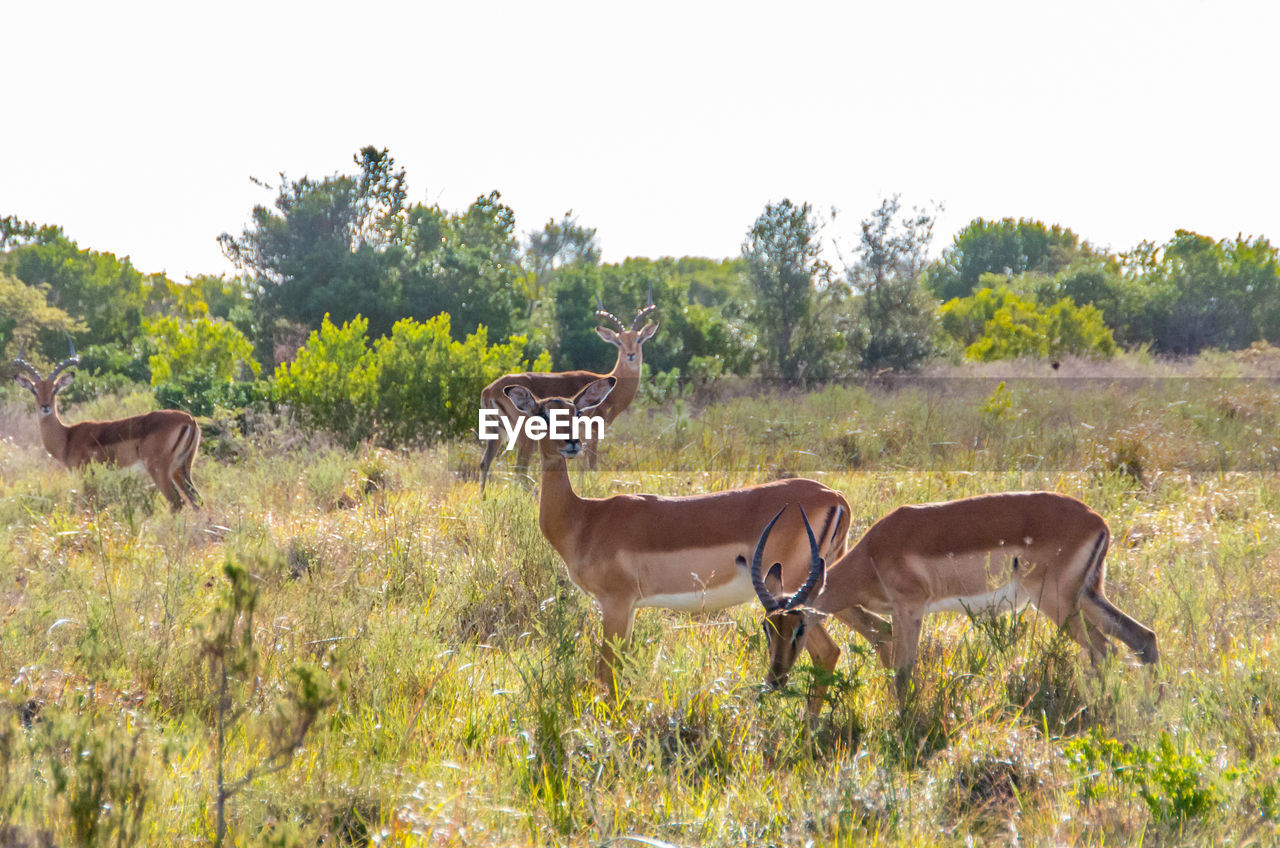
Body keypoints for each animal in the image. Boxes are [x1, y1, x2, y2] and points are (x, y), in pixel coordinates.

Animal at [11, 343, 202, 512]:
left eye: (55, 389)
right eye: (34, 390)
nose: (45, 407)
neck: (67, 437)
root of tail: (190, 420)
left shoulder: (87, 479)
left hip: (159, 470)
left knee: (177, 502)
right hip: (181, 468)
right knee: (196, 501)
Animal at [481, 295, 660, 491]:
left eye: (639, 339)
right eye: (619, 341)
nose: (631, 355)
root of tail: (489, 390)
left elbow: (582, 468)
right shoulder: (593, 432)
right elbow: (591, 466)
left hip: (496, 434)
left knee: (485, 463)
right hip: (524, 436)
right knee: (520, 469)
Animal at [504, 379, 855, 712]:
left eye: (576, 412)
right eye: (542, 414)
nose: (572, 443)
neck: (585, 518)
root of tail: (836, 496)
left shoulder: (615, 603)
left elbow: (606, 673)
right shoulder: (629, 608)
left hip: (796, 596)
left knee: (827, 651)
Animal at [747, 491, 1162, 712]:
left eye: (800, 627)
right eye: (768, 627)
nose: (776, 678)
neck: (874, 554)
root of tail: (1099, 522)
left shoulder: (910, 609)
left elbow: (902, 674)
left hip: (1057, 603)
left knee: (1105, 650)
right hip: (1087, 596)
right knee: (1142, 638)